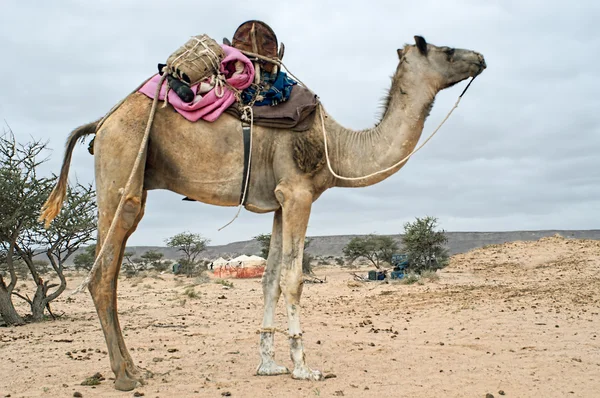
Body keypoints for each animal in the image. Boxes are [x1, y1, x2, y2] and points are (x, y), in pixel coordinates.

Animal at [39, 35, 486, 390]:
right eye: (446, 50)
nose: (480, 57)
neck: (337, 145)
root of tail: (102, 121)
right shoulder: (299, 194)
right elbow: (293, 279)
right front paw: (304, 368)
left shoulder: (278, 202)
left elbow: (269, 279)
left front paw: (268, 364)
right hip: (124, 171)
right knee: (102, 273)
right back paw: (124, 376)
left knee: (109, 272)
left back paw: (134, 368)